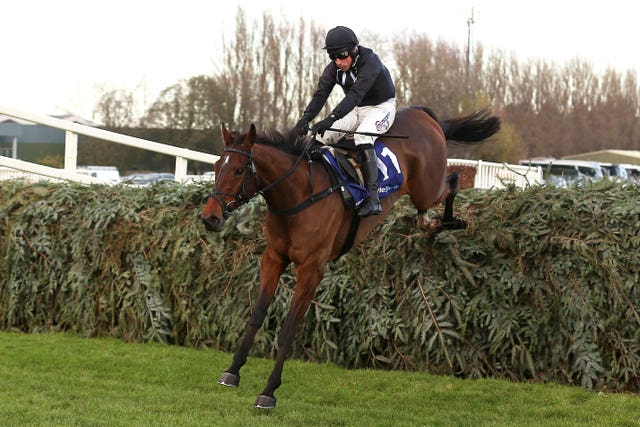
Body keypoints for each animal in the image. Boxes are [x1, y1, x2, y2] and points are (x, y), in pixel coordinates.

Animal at [200, 105, 500, 410]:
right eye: (217, 166)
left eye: (239, 170)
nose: (210, 218)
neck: (298, 194)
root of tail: (423, 114)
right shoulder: (273, 258)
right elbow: (256, 316)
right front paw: (232, 371)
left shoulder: (311, 269)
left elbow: (289, 329)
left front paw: (269, 391)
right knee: (427, 214)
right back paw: (434, 223)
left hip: (427, 187)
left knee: (452, 182)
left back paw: (452, 220)